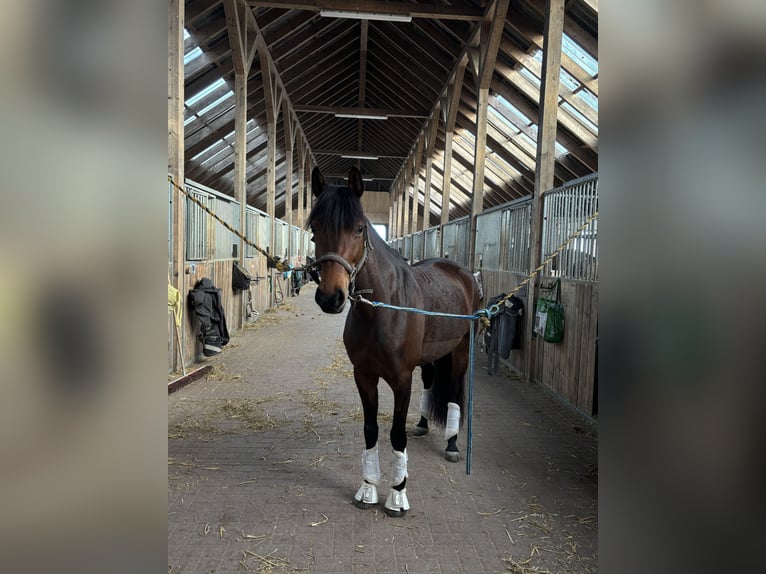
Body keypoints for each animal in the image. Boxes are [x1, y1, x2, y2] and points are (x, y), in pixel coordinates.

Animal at [307, 166, 482, 516]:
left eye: (359, 229)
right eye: (315, 229)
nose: (331, 297)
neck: (382, 310)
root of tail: (461, 272)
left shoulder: (401, 379)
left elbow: (396, 434)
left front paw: (398, 495)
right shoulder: (364, 376)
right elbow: (371, 430)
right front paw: (367, 489)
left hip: (460, 351)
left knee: (454, 392)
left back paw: (453, 444)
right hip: (430, 358)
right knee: (431, 383)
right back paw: (424, 424)